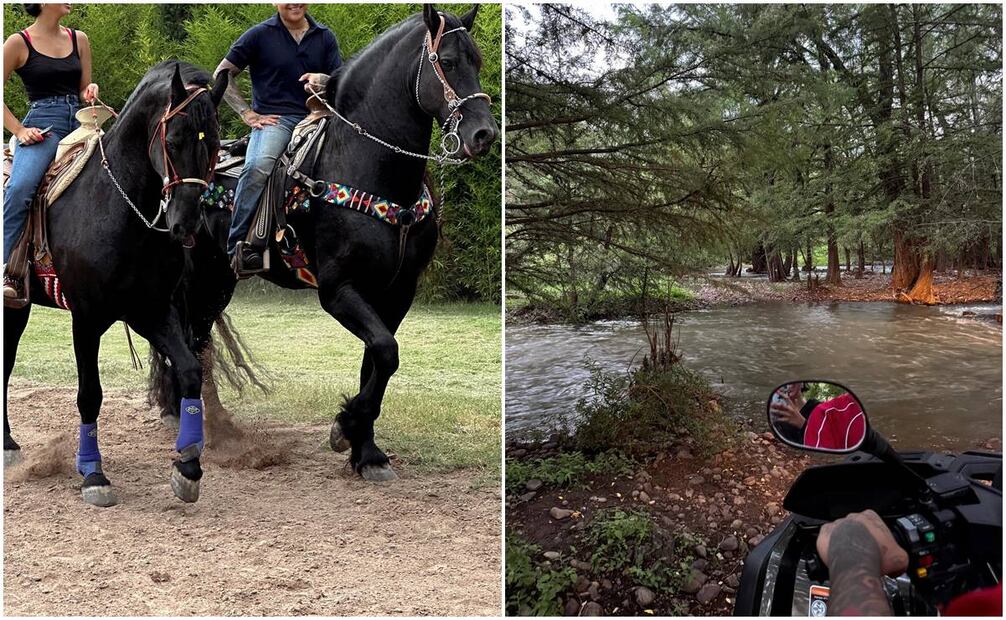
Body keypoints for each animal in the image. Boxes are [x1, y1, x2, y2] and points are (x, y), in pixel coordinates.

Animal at [2, 60, 227, 505]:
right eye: (172, 140)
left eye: (212, 144)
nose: (186, 223)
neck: (118, 207)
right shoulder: (86, 319)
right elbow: (90, 394)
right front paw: (93, 473)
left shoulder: (152, 310)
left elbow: (190, 370)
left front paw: (188, 467)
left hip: (17, 306)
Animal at [150, 4, 496, 479]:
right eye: (446, 61)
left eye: (477, 60)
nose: (484, 134)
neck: (367, 166)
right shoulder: (337, 289)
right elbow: (386, 351)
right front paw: (345, 427)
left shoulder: (396, 292)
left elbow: (378, 360)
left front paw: (366, 451)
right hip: (196, 278)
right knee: (185, 339)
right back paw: (188, 421)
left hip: (219, 281)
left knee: (198, 341)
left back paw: (212, 424)